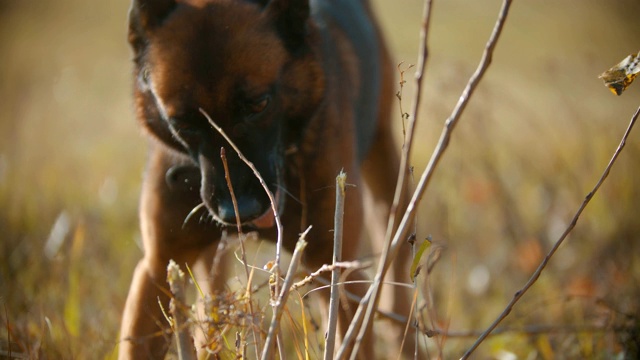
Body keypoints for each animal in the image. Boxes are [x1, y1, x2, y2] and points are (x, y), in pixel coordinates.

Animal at [119, 0, 416, 358]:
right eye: (183, 123)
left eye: (259, 104)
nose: (239, 213)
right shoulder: (158, 268)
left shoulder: (337, 273)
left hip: (387, 177)